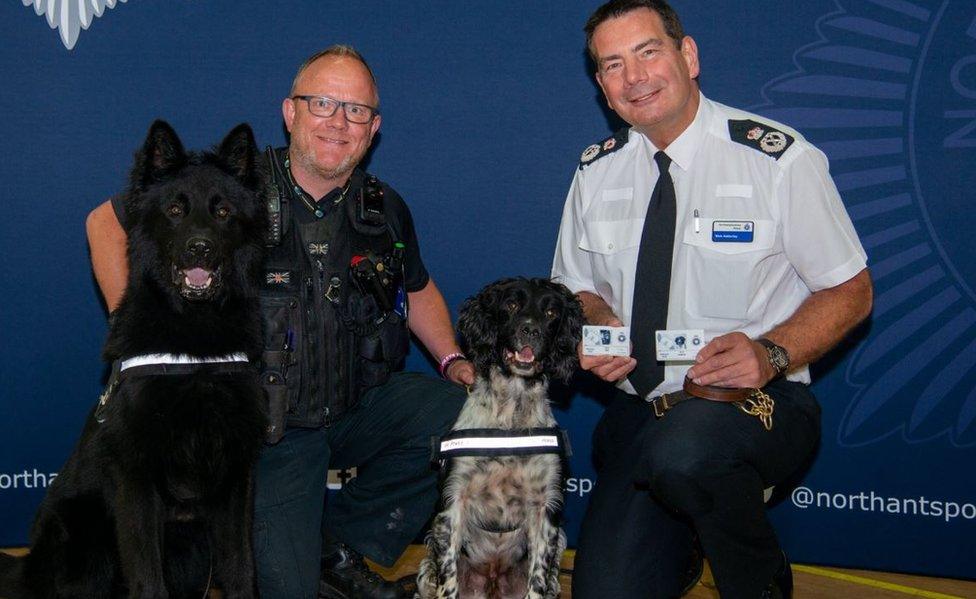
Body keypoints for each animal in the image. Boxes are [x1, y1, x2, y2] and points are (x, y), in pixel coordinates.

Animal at [0, 122, 266, 599]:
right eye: (176, 209)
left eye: (222, 212)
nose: (199, 249)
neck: (195, 346)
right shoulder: (136, 477)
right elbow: (147, 575)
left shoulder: (236, 475)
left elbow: (240, 567)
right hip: (87, 542)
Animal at [418, 280, 584, 599]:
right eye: (511, 305)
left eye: (551, 312)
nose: (530, 330)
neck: (510, 421)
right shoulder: (454, 501)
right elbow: (449, 578)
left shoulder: (545, 508)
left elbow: (538, 580)